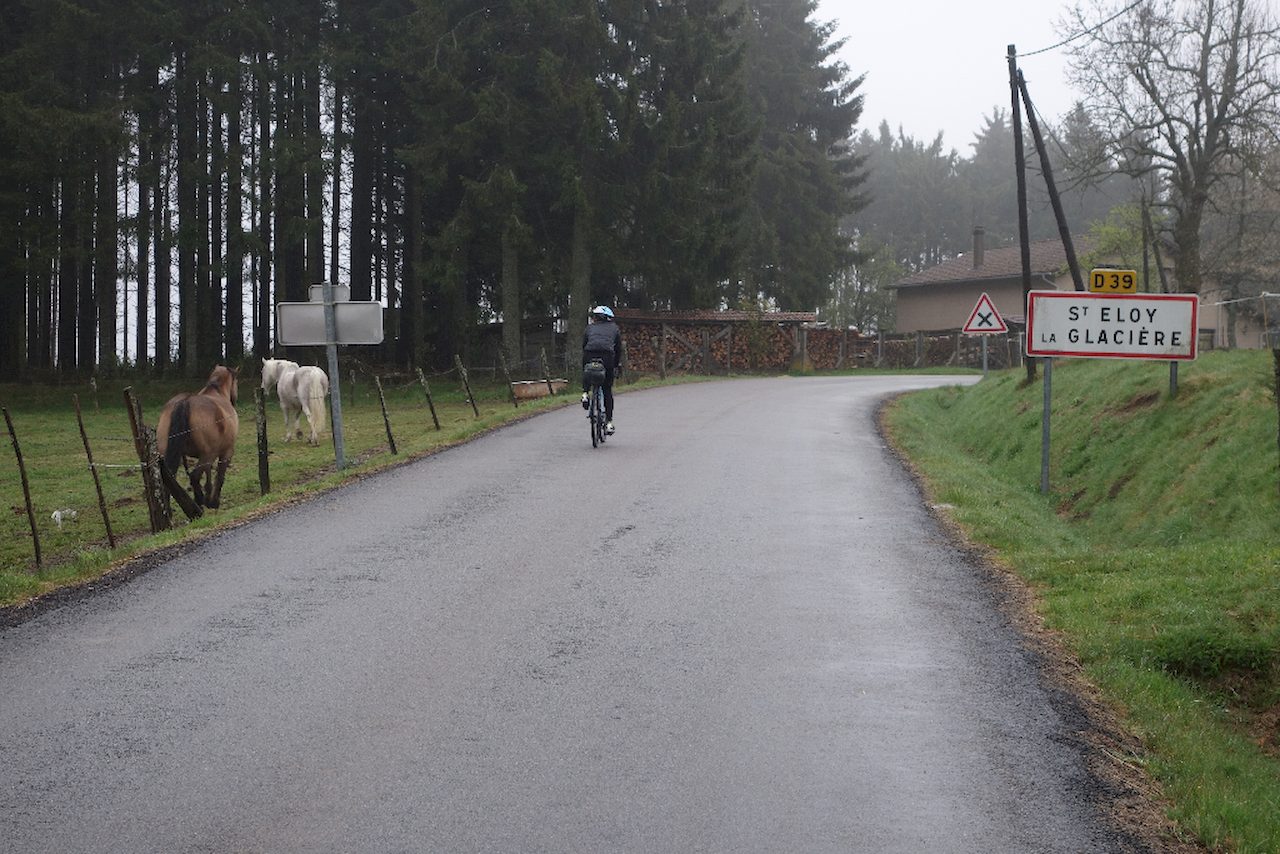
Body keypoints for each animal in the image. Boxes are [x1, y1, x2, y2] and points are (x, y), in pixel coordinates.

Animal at [157, 366, 240, 507]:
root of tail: (185, 401)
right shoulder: (226, 453)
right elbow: (220, 476)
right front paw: (213, 501)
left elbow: (208, 472)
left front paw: (208, 493)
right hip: (207, 455)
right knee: (194, 476)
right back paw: (198, 501)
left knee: (168, 482)